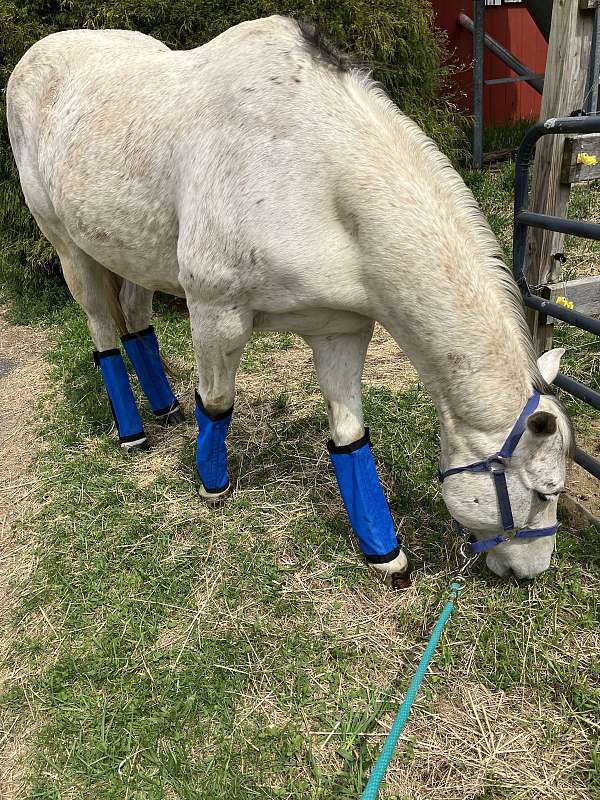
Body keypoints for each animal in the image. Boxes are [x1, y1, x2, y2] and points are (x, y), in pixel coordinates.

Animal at [8, 15, 572, 580]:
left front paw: (383, 552)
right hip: (68, 246)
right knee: (102, 328)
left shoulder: (339, 330)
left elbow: (349, 437)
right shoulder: (216, 314)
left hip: (132, 251)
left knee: (135, 316)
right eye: (546, 492)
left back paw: (165, 407)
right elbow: (216, 403)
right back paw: (132, 431)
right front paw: (212, 486)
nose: (532, 572)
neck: (309, 170)